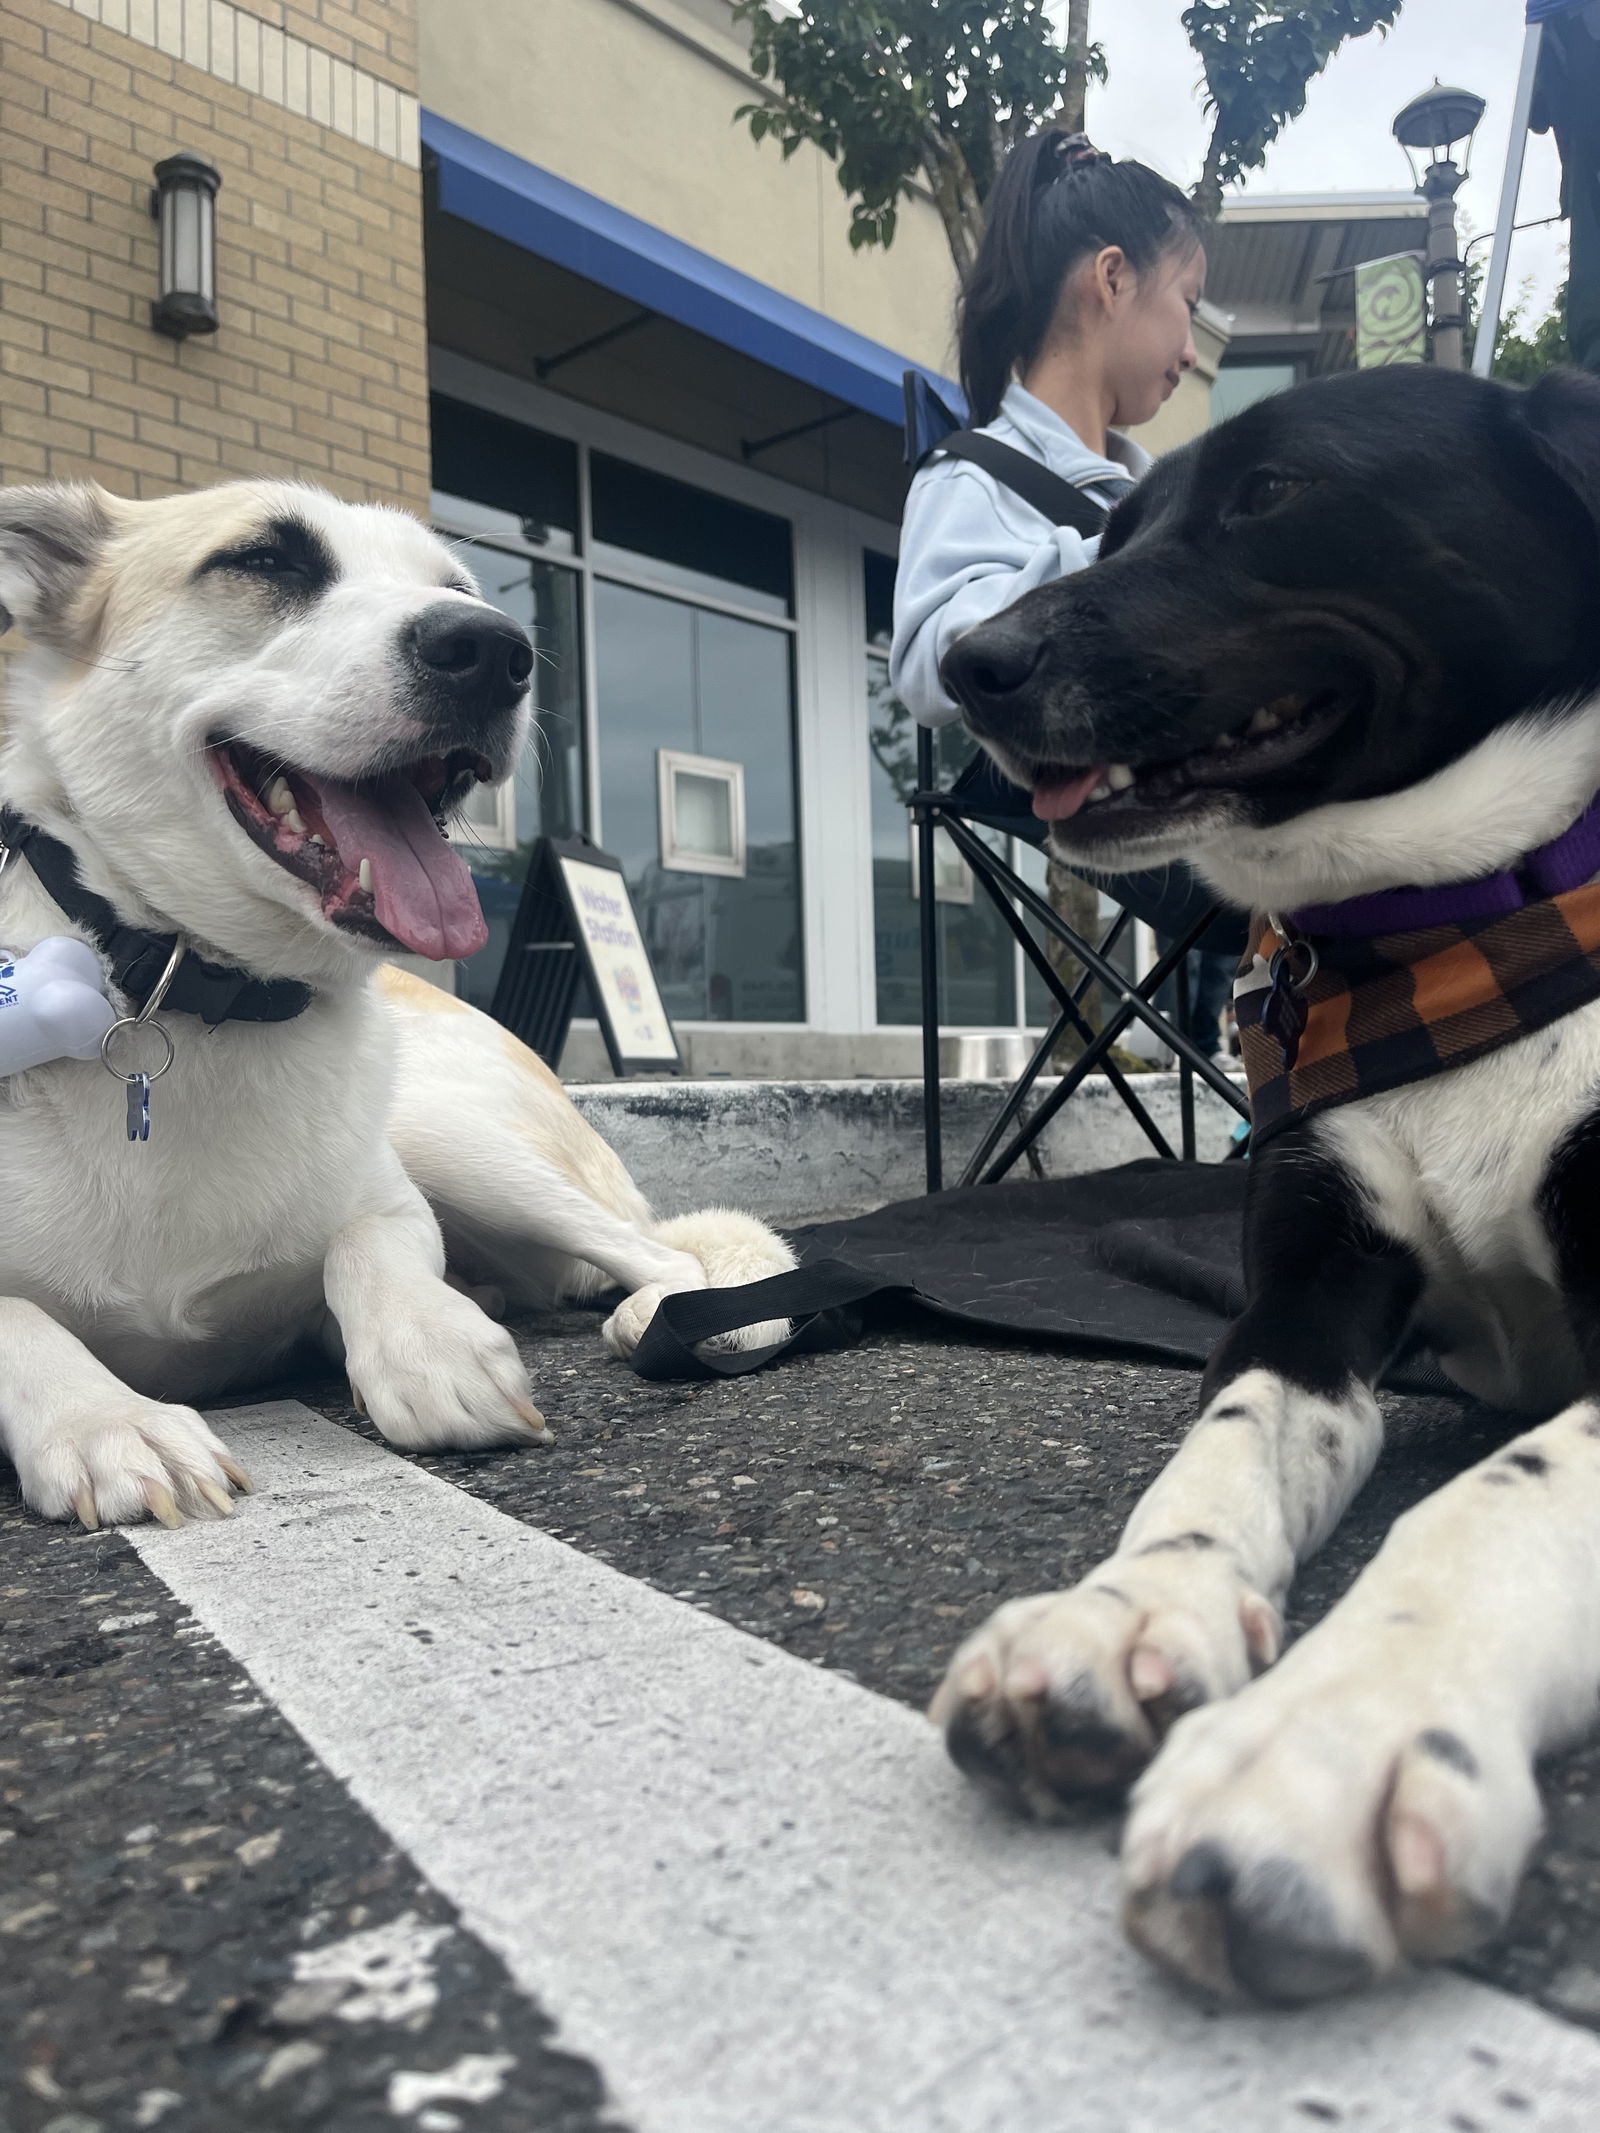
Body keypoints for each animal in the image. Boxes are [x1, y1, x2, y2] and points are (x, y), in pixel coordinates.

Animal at [0, 475, 797, 1527]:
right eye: (265, 559)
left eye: (456, 587)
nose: (496, 651)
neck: (190, 987)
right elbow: (16, 1317)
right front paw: (105, 1419)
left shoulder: (386, 1201)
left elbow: (370, 1239)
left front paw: (432, 1345)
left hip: (441, 1129)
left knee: (666, 1257)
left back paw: (651, 1310)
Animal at [934, 362, 1600, 1996]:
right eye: (1114, 526)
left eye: (1272, 494)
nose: (971, 664)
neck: (1450, 925)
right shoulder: (1307, 1298)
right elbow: (1218, 1453)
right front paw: (1120, 1615)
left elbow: (1486, 1504)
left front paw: (1330, 1734)